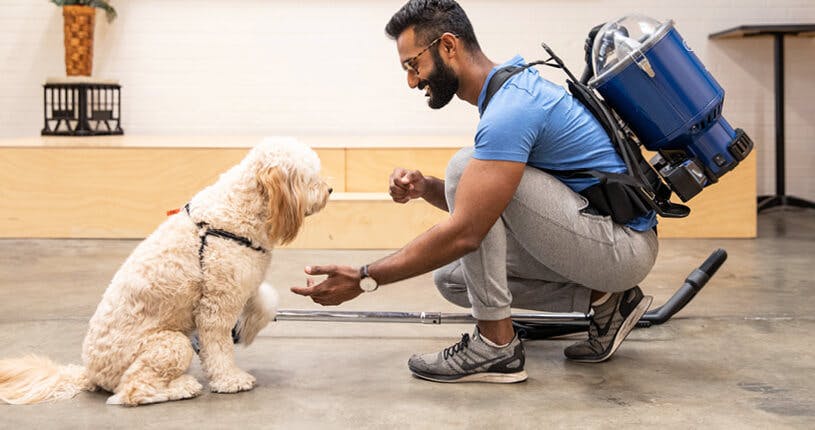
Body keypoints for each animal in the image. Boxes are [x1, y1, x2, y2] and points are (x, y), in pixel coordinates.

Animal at [0, 139, 332, 406]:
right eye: (309, 178)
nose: (330, 189)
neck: (239, 208)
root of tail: (89, 372)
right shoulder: (216, 305)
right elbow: (219, 349)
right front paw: (230, 380)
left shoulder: (240, 281)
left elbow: (266, 298)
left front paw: (248, 327)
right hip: (170, 345)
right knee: (131, 392)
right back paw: (182, 387)